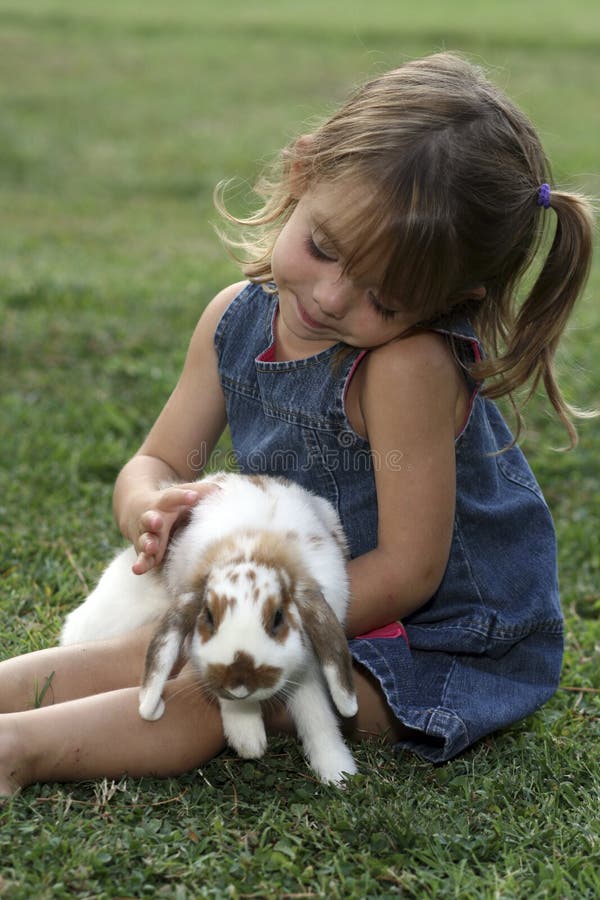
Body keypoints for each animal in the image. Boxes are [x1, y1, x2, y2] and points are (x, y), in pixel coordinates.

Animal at [62, 474, 356, 784]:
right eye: (210, 617)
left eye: (278, 618)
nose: (239, 684)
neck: (254, 544)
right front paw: (248, 737)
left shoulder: (308, 667)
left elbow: (318, 716)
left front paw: (338, 772)